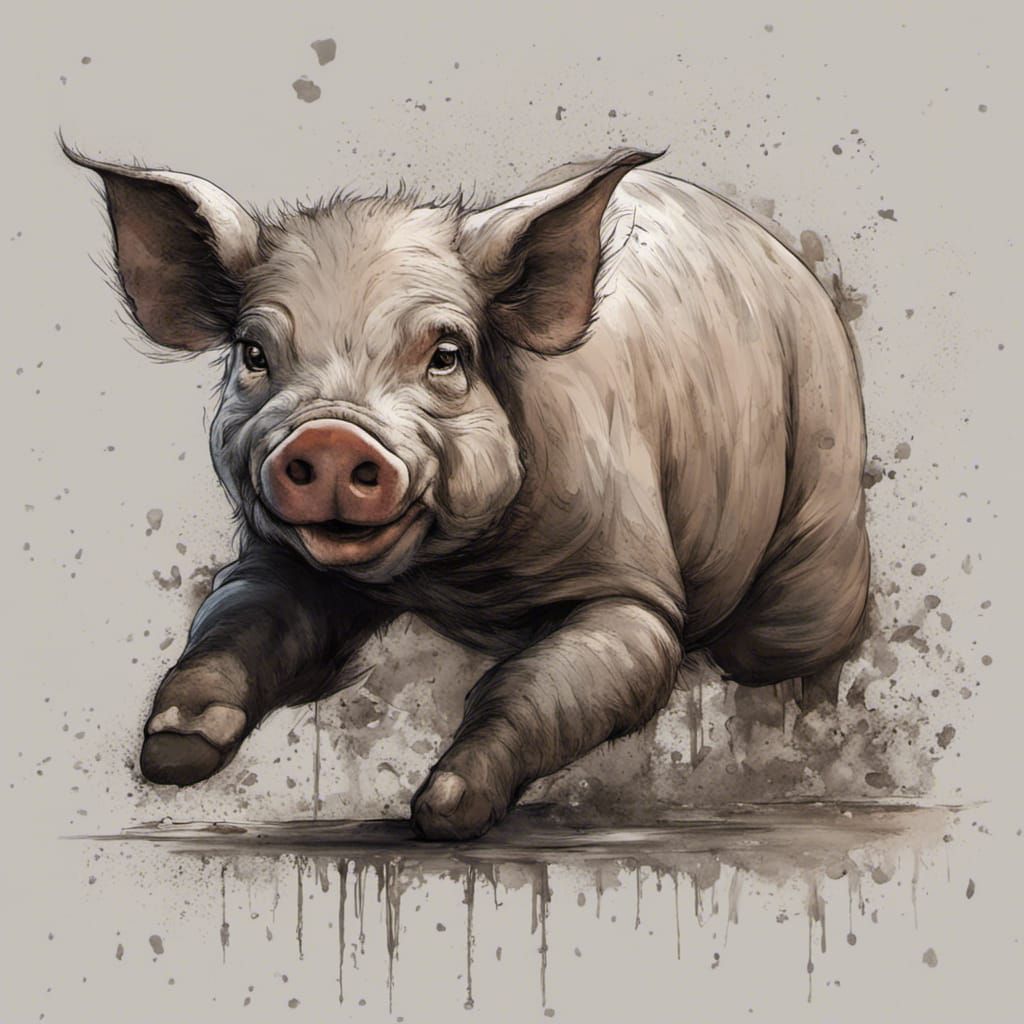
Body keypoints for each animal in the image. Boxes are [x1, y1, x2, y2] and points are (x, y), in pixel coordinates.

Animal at [65, 144, 870, 840]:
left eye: (447, 355)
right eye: (254, 353)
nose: (330, 438)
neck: (458, 583)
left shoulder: (634, 583)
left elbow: (545, 681)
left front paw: (445, 810)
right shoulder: (277, 557)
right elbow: (238, 623)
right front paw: (172, 751)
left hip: (821, 513)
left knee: (796, 653)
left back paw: (809, 750)